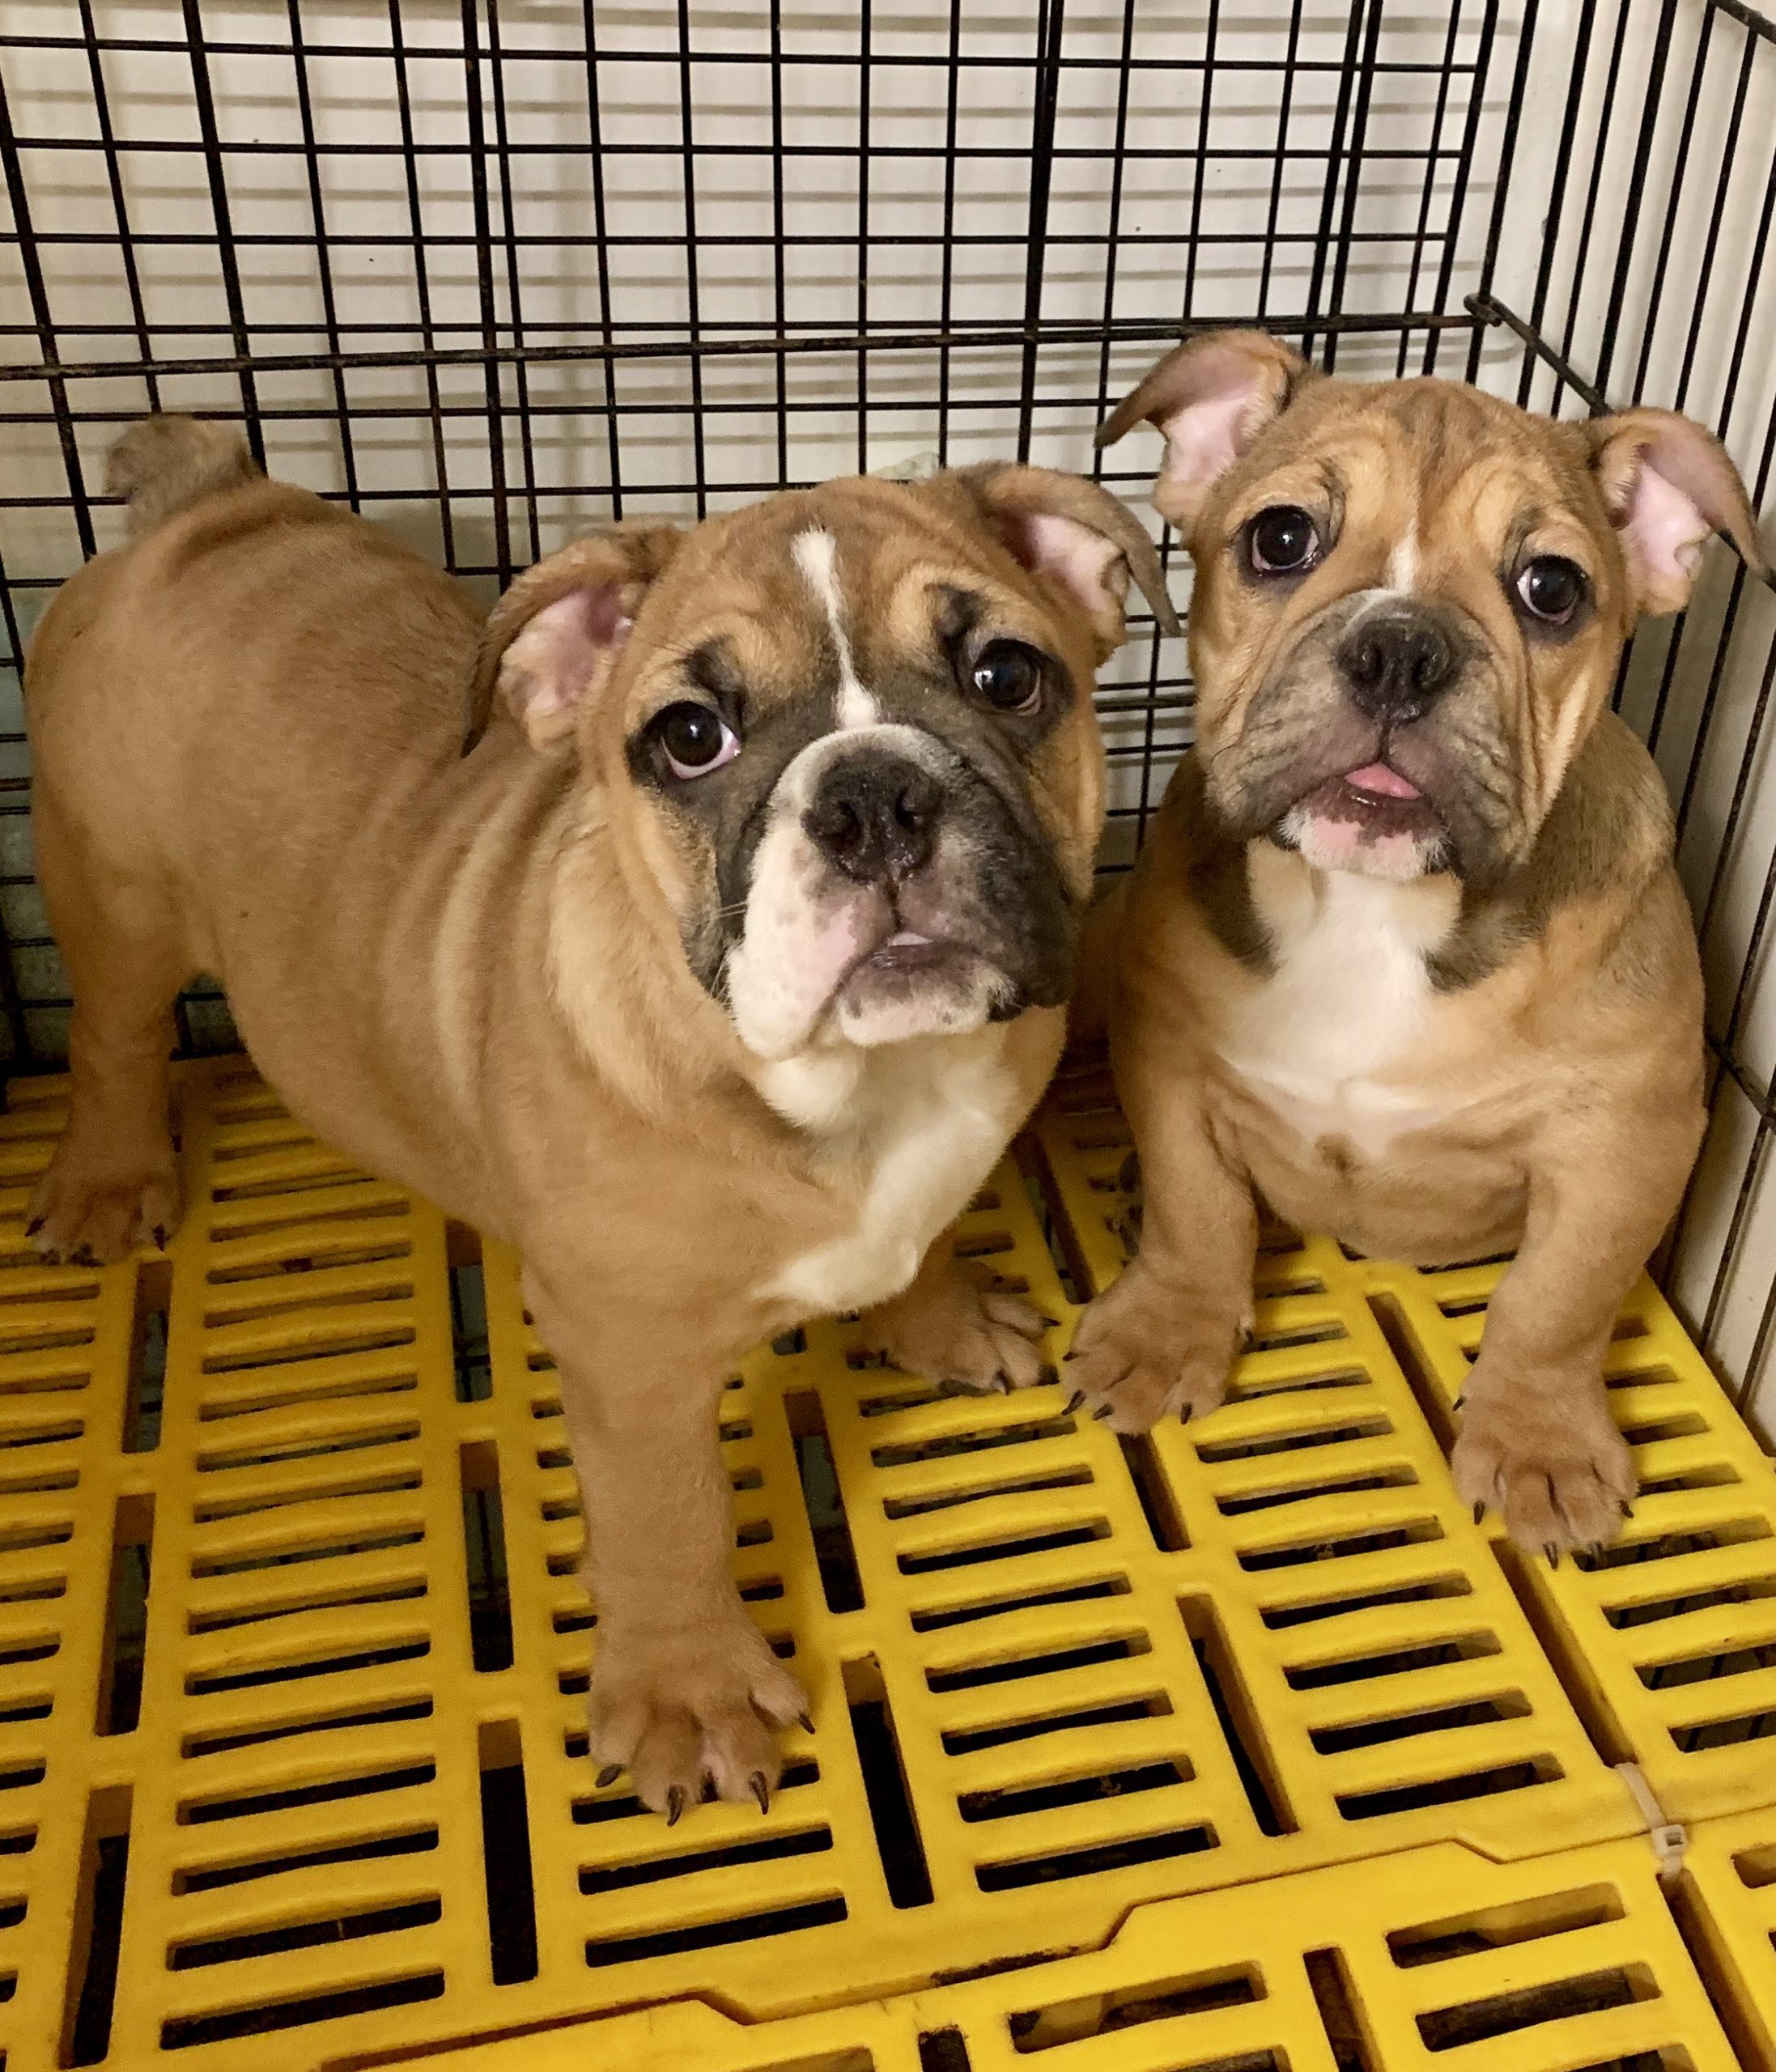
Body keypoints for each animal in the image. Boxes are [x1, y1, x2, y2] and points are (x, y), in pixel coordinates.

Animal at [23, 420, 1177, 1815]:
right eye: (688, 736)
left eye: (1008, 675)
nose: (872, 800)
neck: (861, 1081)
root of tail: (208, 505)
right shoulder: (628, 1358)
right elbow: (664, 1517)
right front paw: (688, 1694)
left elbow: (926, 1240)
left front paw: (935, 1319)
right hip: (112, 894)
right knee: (115, 1037)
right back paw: (106, 1178)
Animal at [1069, 327, 1757, 1558]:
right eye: (1280, 538)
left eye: (1551, 589)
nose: (1399, 649)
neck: (1368, 906)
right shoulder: (1169, 1056)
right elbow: (1200, 1211)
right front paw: (1164, 1330)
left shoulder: (1626, 1142)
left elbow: (1557, 1301)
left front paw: (1537, 1442)